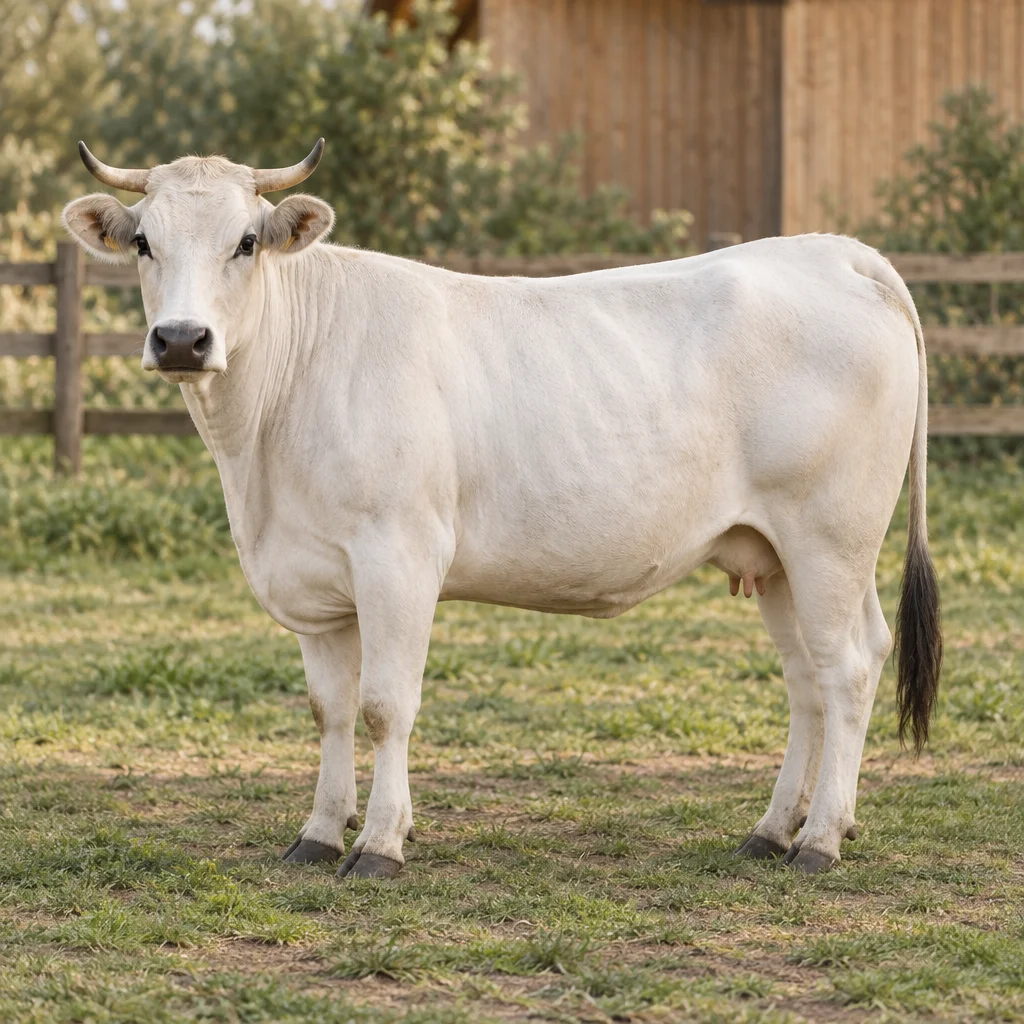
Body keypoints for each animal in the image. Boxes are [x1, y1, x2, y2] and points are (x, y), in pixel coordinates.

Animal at [63, 140, 942, 879]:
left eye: (246, 241)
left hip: (829, 538)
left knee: (848, 667)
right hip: (774, 553)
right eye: (144, 242)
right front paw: (318, 834)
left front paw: (379, 844)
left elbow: (385, 706)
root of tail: (830, 251)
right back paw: (773, 829)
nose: (182, 339)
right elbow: (330, 711)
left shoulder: (400, 558)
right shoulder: (313, 580)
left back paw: (820, 841)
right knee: (807, 678)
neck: (260, 460)